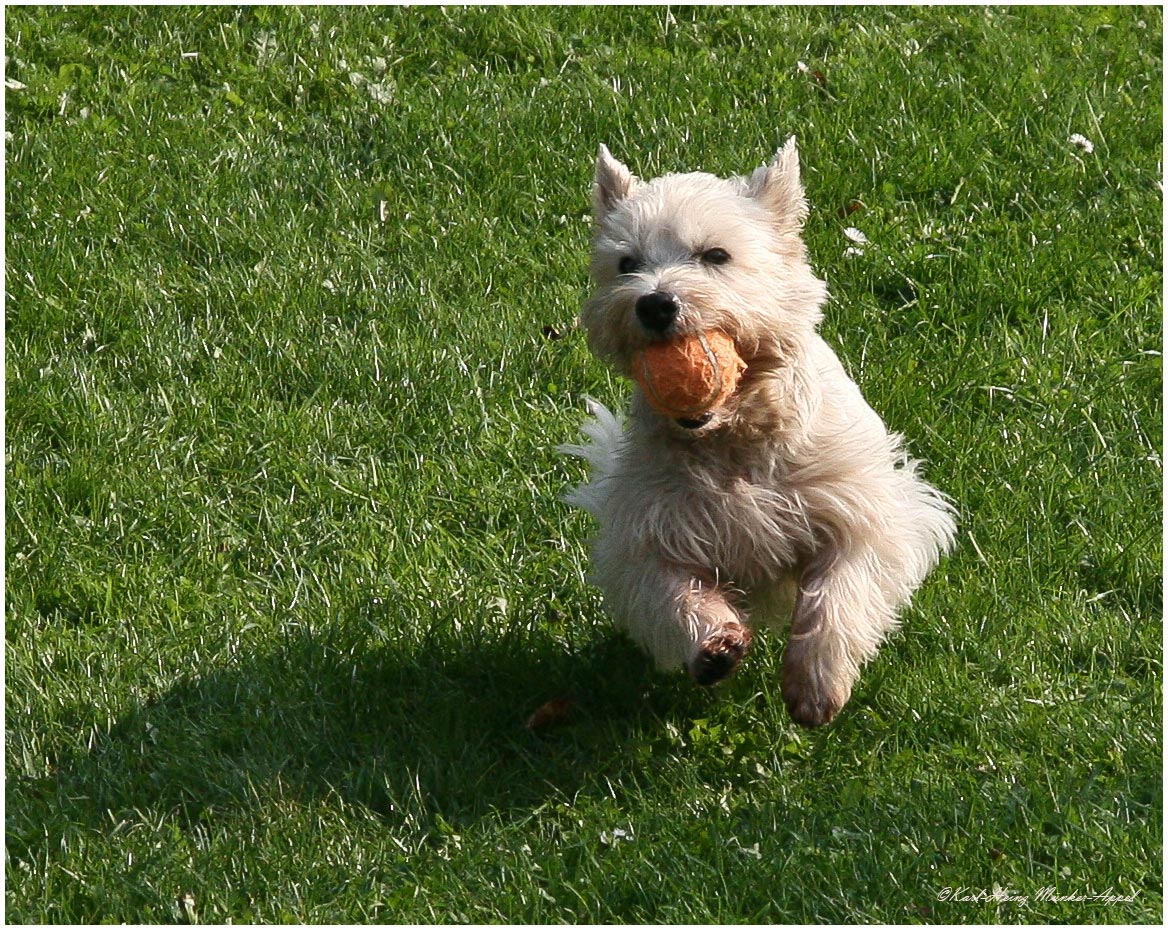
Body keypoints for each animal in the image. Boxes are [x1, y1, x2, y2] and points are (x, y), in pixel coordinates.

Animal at [565, 139, 957, 724]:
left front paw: (816, 683)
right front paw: (714, 644)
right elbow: (671, 592)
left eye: (716, 255)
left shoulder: (859, 510)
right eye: (626, 263)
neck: (733, 437)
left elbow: (840, 593)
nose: (655, 303)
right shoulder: (646, 535)